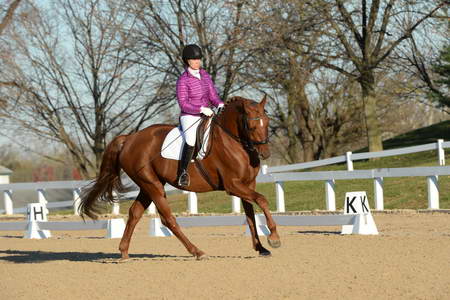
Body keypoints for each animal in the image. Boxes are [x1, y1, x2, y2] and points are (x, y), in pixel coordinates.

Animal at [79, 95, 280, 260]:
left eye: (267, 121)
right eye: (252, 126)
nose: (266, 153)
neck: (234, 141)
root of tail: (129, 138)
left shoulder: (247, 184)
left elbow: (251, 214)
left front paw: (261, 248)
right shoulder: (233, 185)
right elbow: (262, 200)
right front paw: (274, 238)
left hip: (148, 185)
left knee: (135, 213)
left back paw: (124, 252)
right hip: (152, 185)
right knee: (167, 219)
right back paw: (197, 251)